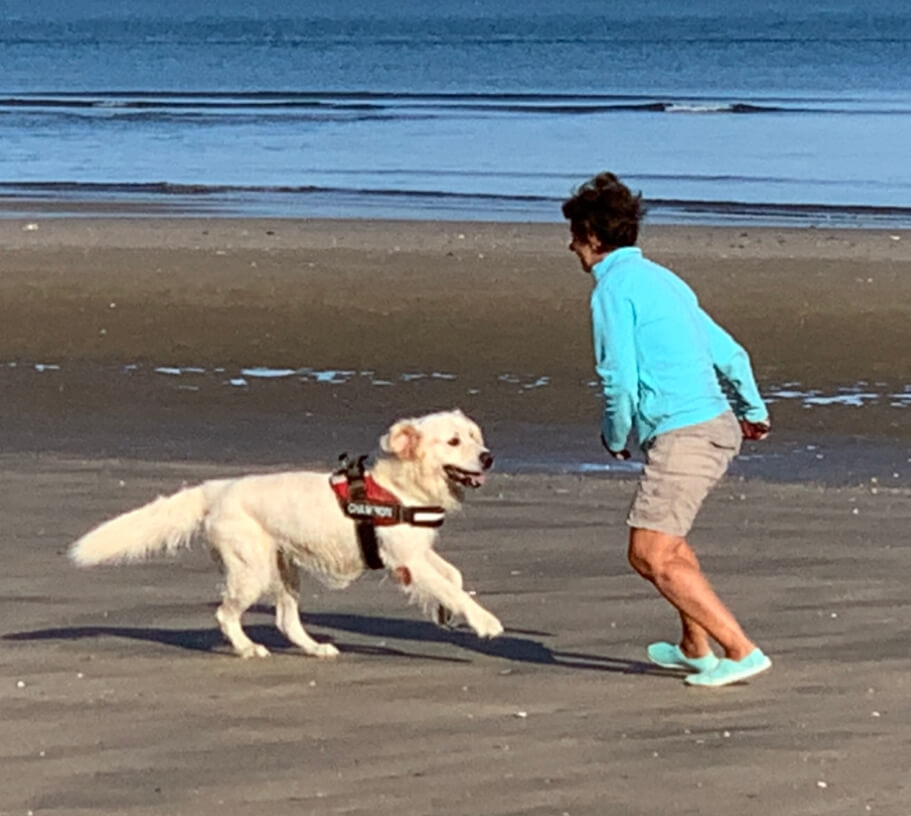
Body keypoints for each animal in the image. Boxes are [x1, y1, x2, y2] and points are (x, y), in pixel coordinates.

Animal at [67, 408, 502, 656]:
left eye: (475, 436)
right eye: (453, 441)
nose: (488, 457)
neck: (401, 488)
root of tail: (218, 488)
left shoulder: (417, 552)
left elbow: (453, 577)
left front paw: (443, 612)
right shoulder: (406, 558)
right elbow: (453, 588)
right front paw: (484, 622)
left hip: (285, 569)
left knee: (285, 621)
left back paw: (315, 648)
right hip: (253, 569)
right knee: (226, 614)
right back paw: (248, 649)